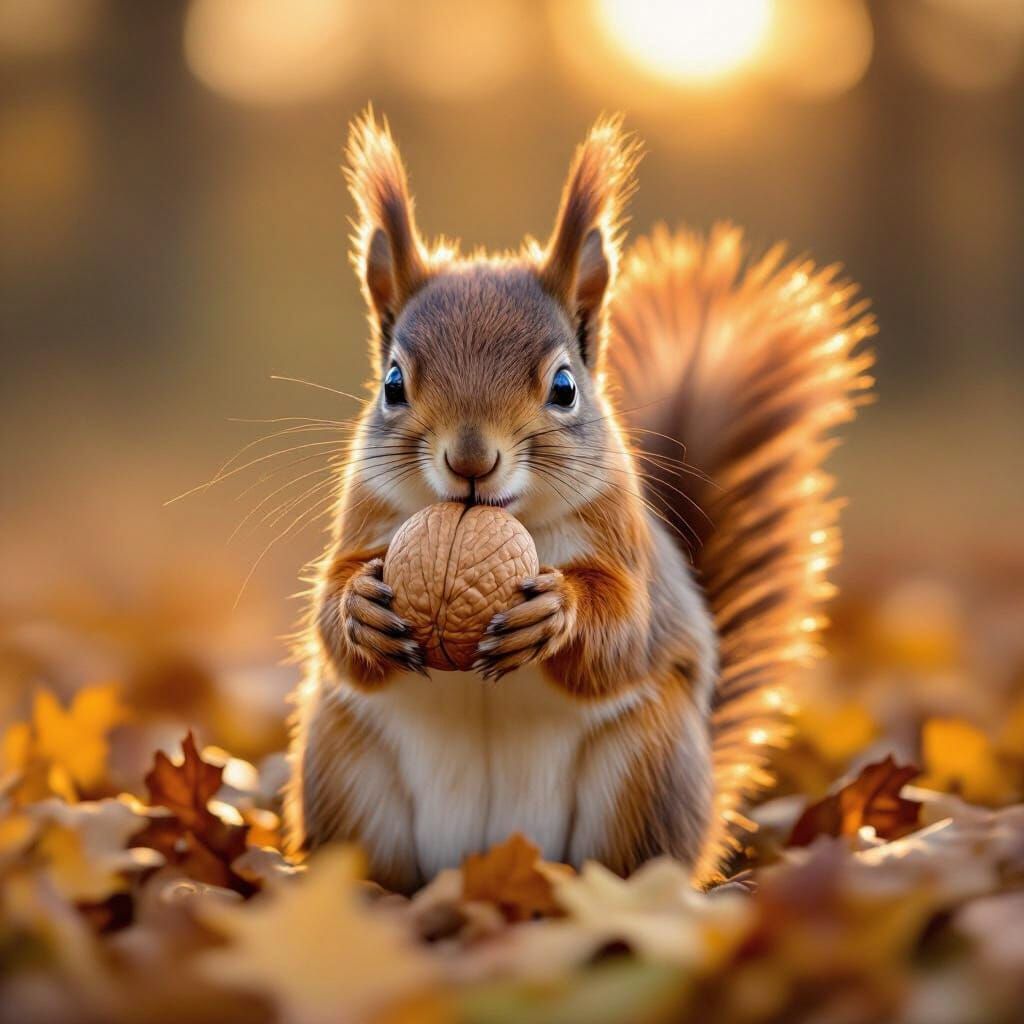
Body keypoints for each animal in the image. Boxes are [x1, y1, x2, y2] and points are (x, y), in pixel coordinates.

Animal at [285, 110, 875, 892]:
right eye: (392, 384)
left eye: (565, 387)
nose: (470, 461)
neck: (503, 520)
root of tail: (481, 863)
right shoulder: (366, 518)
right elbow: (332, 611)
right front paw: (359, 609)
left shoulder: (625, 546)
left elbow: (622, 630)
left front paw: (557, 612)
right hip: (344, 766)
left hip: (646, 770)